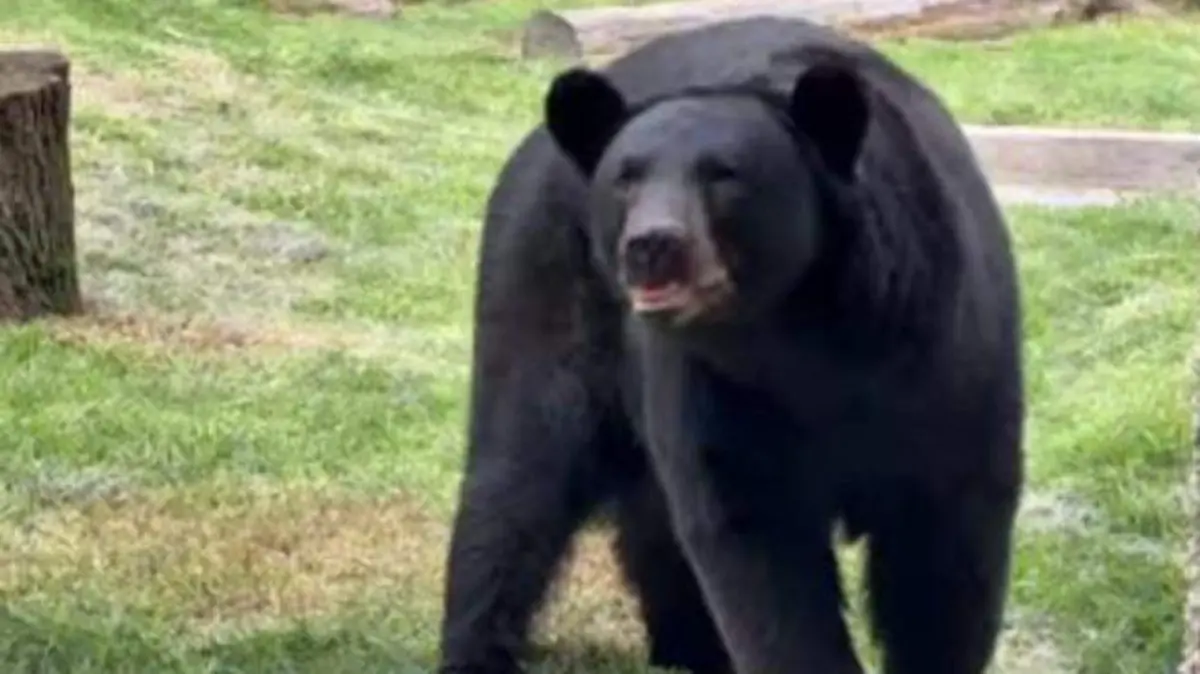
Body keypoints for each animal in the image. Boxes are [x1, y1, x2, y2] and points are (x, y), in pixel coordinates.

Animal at [437, 16, 1024, 674]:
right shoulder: (717, 388)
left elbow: (946, 554)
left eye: (723, 174)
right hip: (544, 287)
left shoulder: (948, 358)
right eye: (626, 177)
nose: (652, 245)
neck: (800, 334)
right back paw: (477, 651)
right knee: (519, 474)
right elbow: (756, 549)